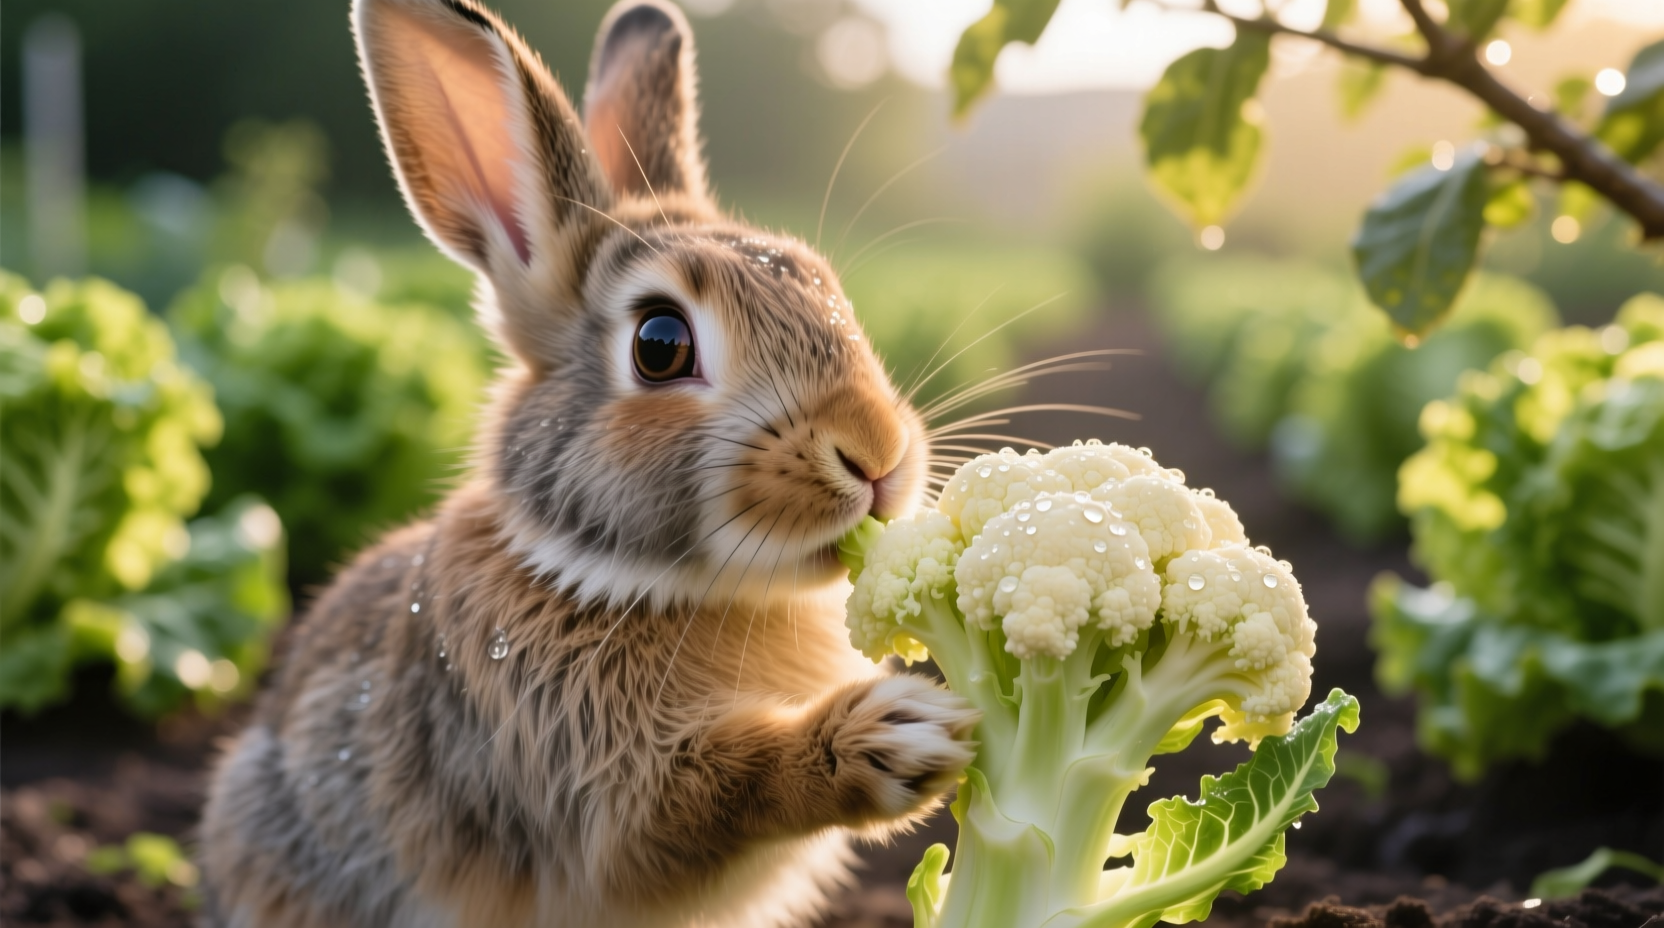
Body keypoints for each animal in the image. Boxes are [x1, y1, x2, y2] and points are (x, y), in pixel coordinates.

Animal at [197, 0, 981, 925]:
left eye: (827, 290)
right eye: (660, 344)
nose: (878, 457)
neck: (615, 576)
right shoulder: (594, 789)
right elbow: (710, 795)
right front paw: (897, 734)